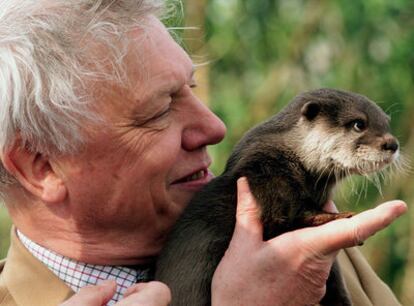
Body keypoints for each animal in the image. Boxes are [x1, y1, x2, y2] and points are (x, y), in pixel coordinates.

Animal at [154, 88, 400, 306]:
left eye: (386, 123)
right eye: (359, 124)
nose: (392, 144)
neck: (288, 156)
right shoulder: (266, 178)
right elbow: (290, 218)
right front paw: (337, 217)